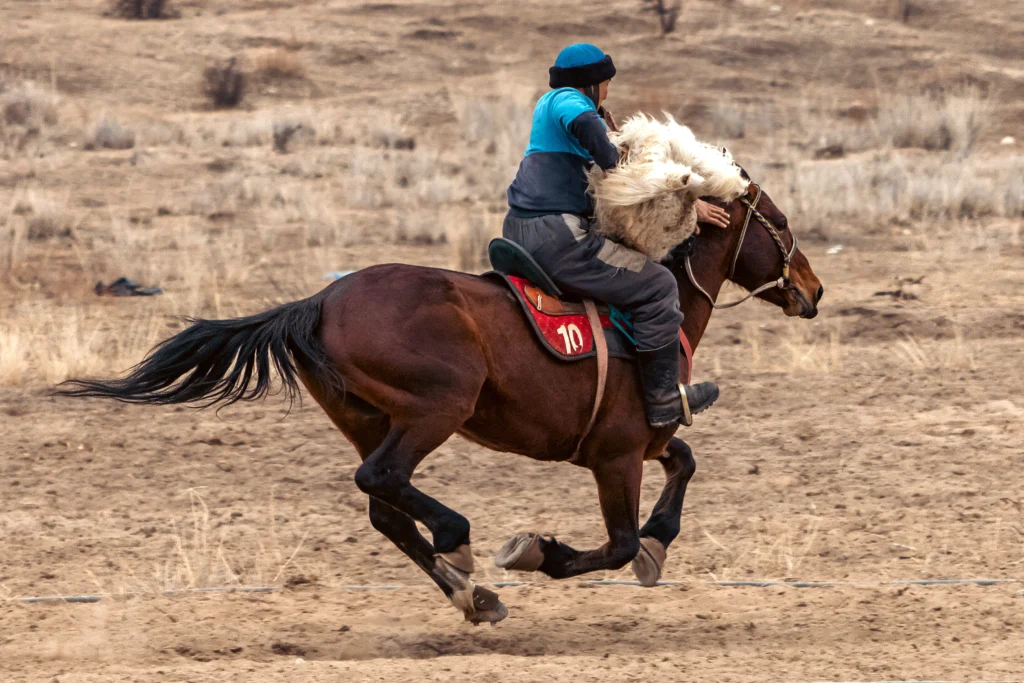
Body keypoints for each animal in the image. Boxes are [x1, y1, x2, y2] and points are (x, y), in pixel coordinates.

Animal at [56, 179, 824, 625]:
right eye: (781, 222)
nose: (814, 290)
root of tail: (319, 300)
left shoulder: (646, 443)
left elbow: (682, 466)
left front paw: (658, 546)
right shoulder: (617, 455)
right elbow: (617, 541)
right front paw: (536, 551)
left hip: (370, 418)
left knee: (383, 506)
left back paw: (471, 594)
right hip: (436, 410)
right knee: (383, 482)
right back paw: (462, 547)